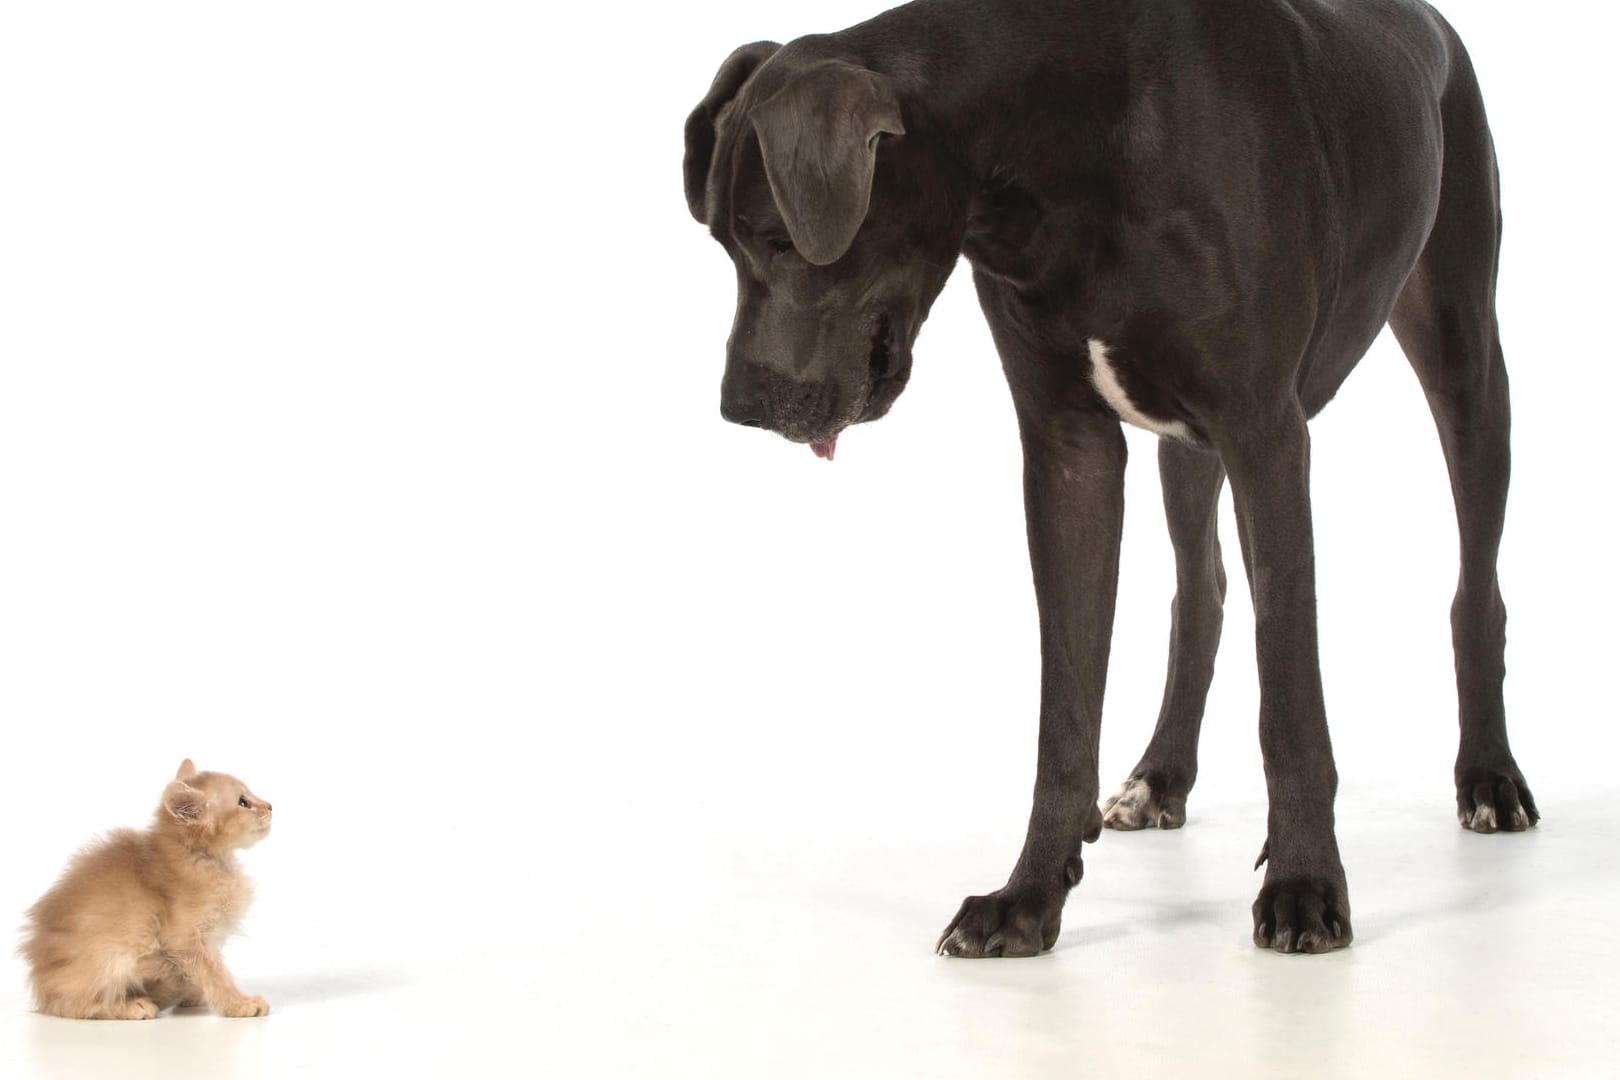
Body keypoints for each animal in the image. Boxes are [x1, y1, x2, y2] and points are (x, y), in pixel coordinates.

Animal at [22, 761, 273, 1023]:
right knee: (72, 1004)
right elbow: (215, 974)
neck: (203, 857)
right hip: (115, 952)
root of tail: (41, 983)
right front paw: (239, 1004)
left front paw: (195, 996)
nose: (270, 806)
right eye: (243, 802)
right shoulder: (185, 940)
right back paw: (133, 1006)